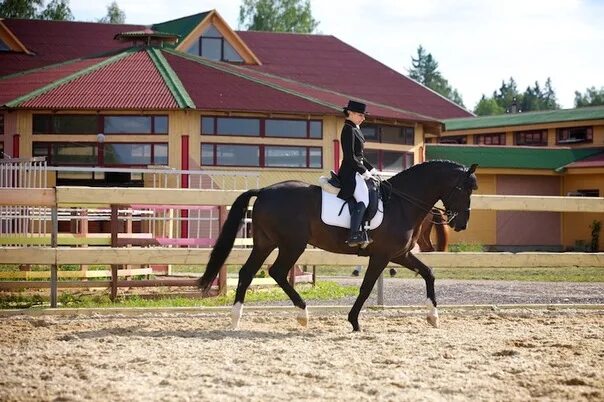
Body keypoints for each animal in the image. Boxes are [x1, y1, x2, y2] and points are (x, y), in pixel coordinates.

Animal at [201, 162, 478, 332]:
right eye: (464, 189)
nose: (462, 223)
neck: (401, 203)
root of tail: (265, 191)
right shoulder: (381, 256)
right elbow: (366, 288)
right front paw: (354, 322)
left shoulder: (400, 254)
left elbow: (429, 274)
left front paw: (433, 317)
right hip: (292, 245)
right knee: (276, 272)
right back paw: (303, 315)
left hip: (265, 243)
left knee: (248, 273)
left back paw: (235, 319)